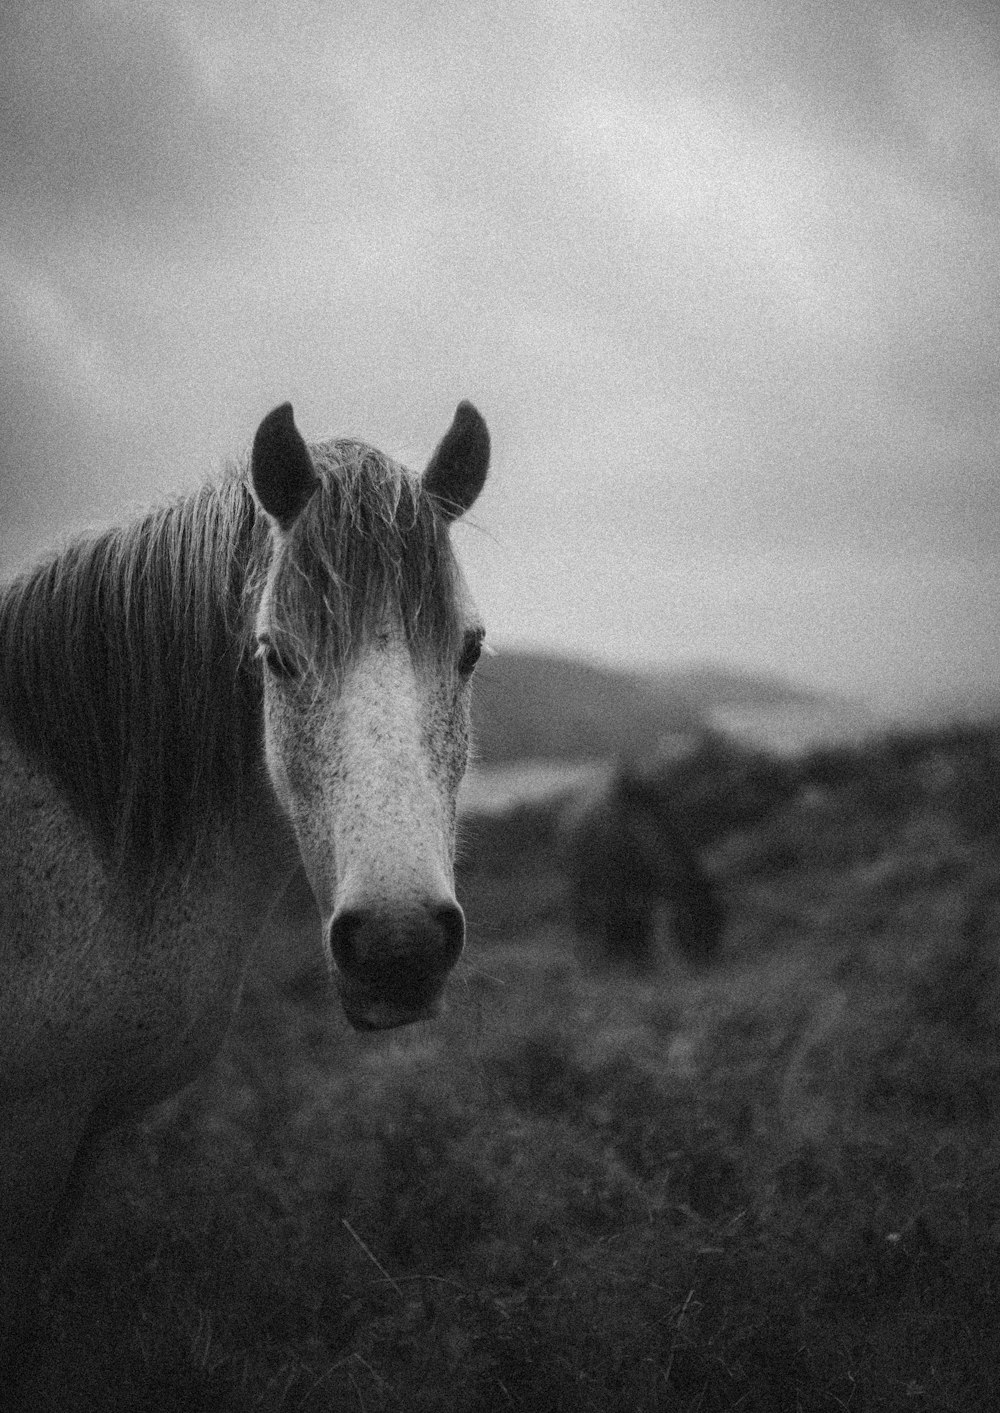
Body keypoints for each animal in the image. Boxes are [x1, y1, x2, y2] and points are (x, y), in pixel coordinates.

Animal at [553, 757, 728, 977]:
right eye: (699, 920)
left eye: (719, 921)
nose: (708, 960)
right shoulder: (617, 885)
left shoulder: (645, 888)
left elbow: (640, 921)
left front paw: (639, 958)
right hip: (578, 881)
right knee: (580, 915)